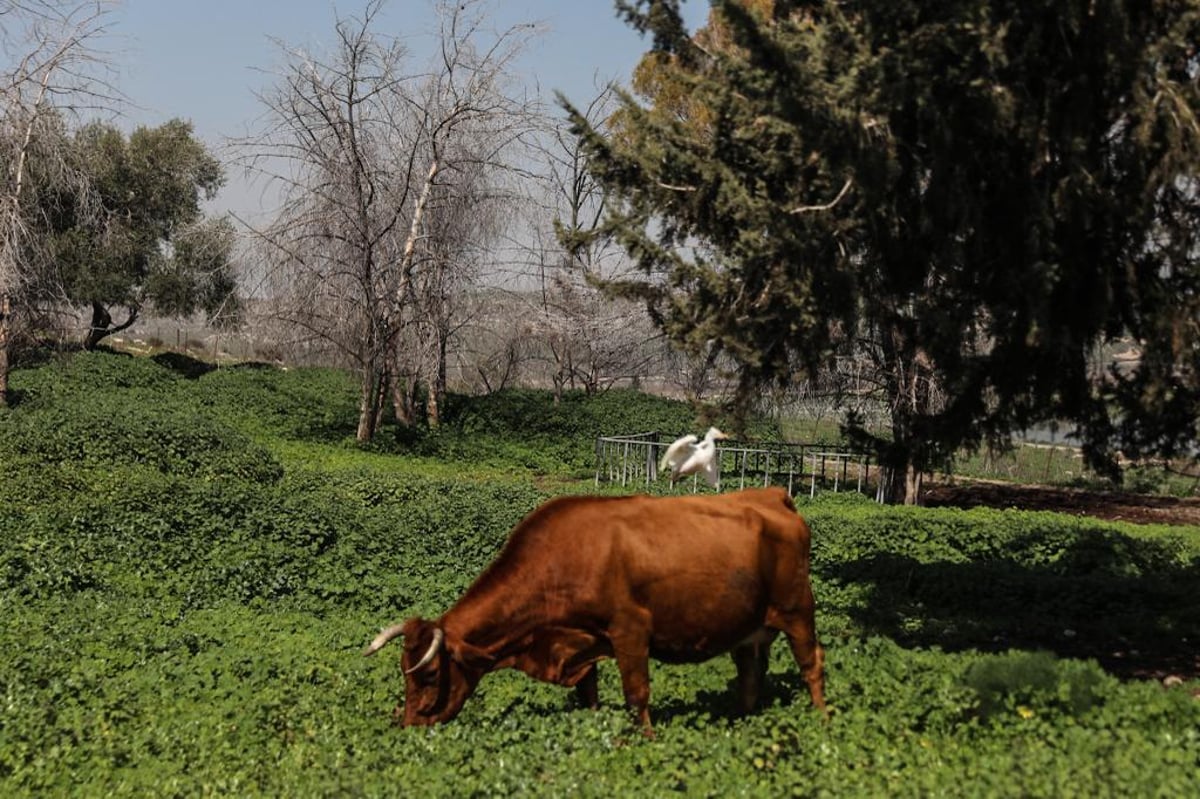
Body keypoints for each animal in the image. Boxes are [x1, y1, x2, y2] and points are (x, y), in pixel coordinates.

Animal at [360, 482, 820, 729]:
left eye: (429, 673)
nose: (410, 724)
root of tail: (771, 494)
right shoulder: (580, 641)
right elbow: (589, 693)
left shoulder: (630, 631)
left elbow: (637, 693)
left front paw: (645, 741)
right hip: (750, 627)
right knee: (750, 674)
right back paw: (743, 720)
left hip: (798, 610)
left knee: (812, 664)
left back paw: (822, 720)